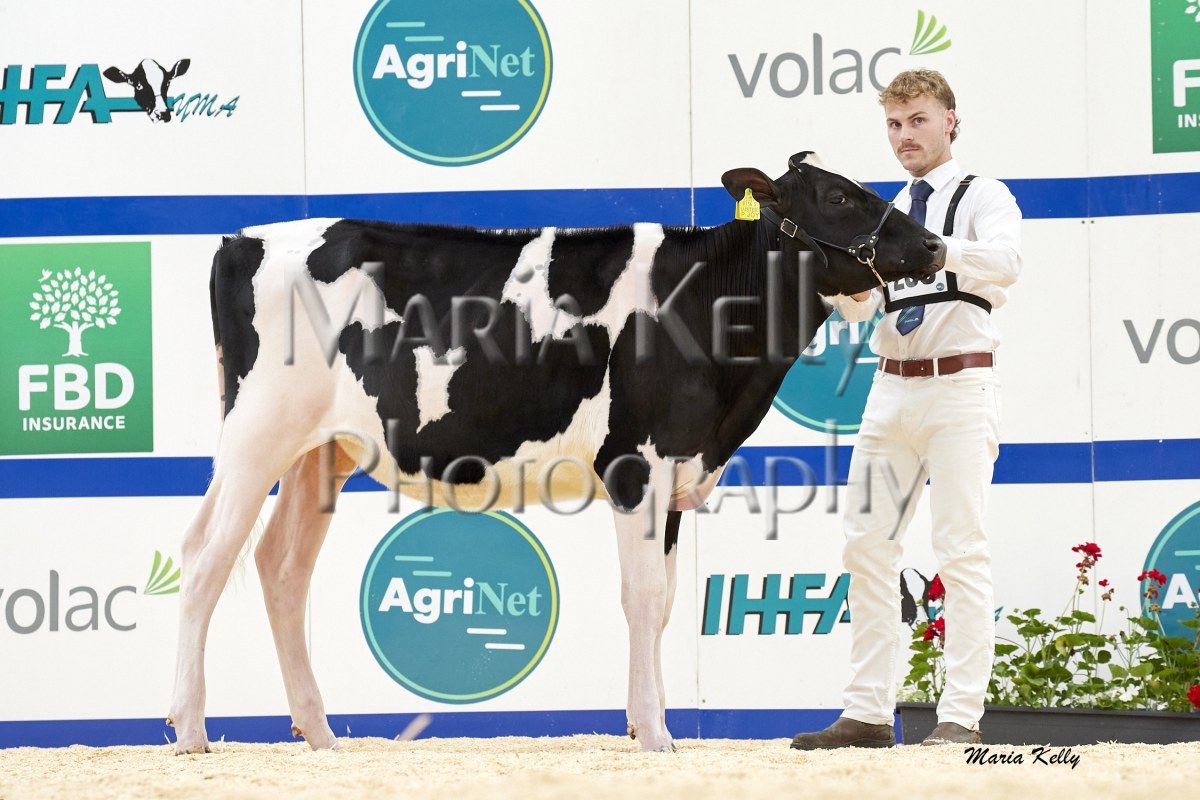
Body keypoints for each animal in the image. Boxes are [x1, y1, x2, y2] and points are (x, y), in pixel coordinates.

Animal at [168, 152, 946, 755]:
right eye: (840, 195)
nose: (936, 246)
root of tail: (242, 238)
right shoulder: (636, 465)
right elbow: (643, 598)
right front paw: (656, 734)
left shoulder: (675, 471)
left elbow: (665, 602)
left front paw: (644, 723)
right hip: (255, 432)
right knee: (205, 556)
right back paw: (190, 731)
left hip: (319, 449)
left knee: (281, 567)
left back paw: (321, 733)